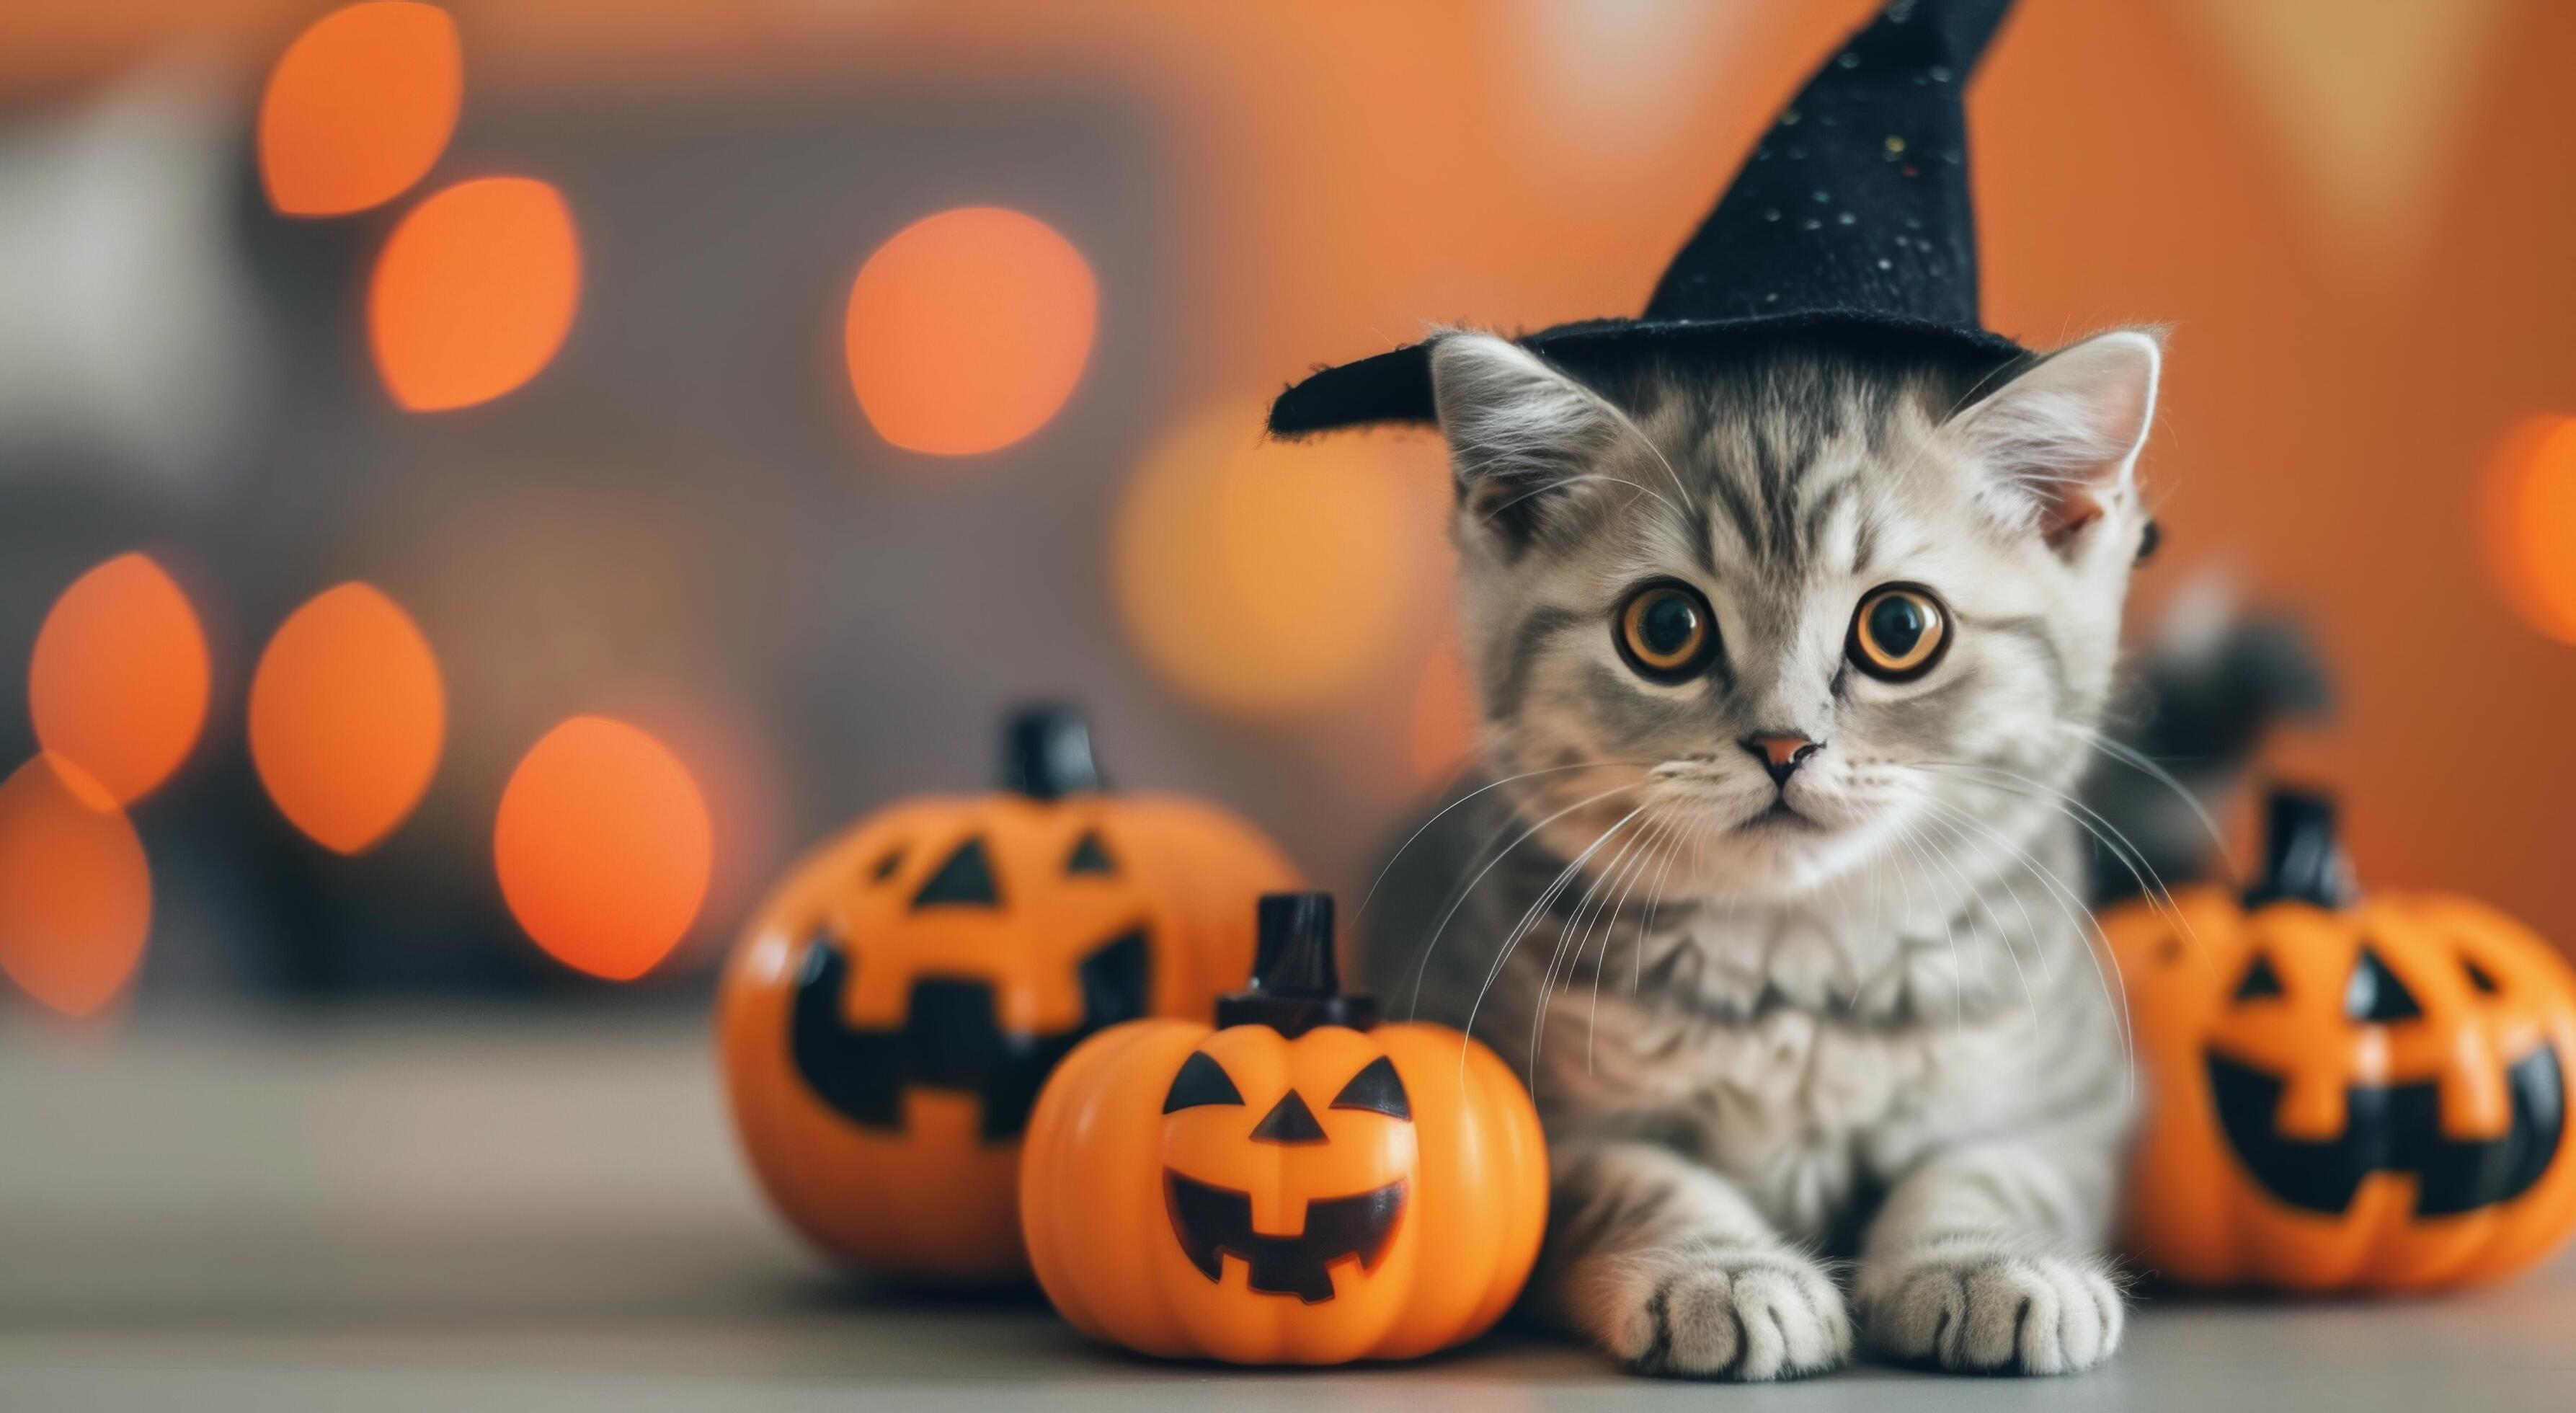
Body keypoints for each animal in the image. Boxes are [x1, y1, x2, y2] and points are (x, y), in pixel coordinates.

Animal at [1360, 322, 2164, 1382]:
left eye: (1899, 627)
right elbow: (1627, 1178)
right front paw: (1722, 1271)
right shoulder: (1518, 1109)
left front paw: (1983, 1259)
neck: (1798, 962)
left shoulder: (2076, 1102)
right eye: (1665, 627)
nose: (1783, 746)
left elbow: (1993, 1166)